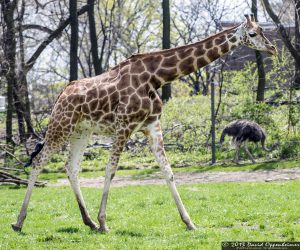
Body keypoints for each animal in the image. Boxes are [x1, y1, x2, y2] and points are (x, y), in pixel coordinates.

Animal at [12, 13, 276, 232]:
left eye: (262, 30)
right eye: (253, 33)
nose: (273, 48)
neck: (156, 77)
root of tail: (60, 95)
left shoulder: (152, 126)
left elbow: (168, 172)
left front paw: (189, 222)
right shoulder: (124, 126)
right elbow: (111, 171)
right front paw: (104, 222)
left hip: (82, 132)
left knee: (71, 167)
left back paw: (87, 222)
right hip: (61, 126)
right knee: (39, 161)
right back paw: (19, 221)